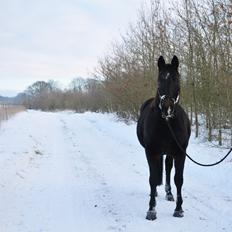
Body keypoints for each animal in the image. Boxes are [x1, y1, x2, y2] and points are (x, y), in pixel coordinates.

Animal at [137, 55, 189, 220]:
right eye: (159, 80)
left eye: (176, 79)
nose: (167, 107)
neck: (167, 124)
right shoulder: (151, 152)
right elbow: (153, 178)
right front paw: (151, 209)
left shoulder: (180, 153)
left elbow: (178, 179)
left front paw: (179, 209)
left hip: (170, 153)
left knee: (167, 167)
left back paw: (169, 193)